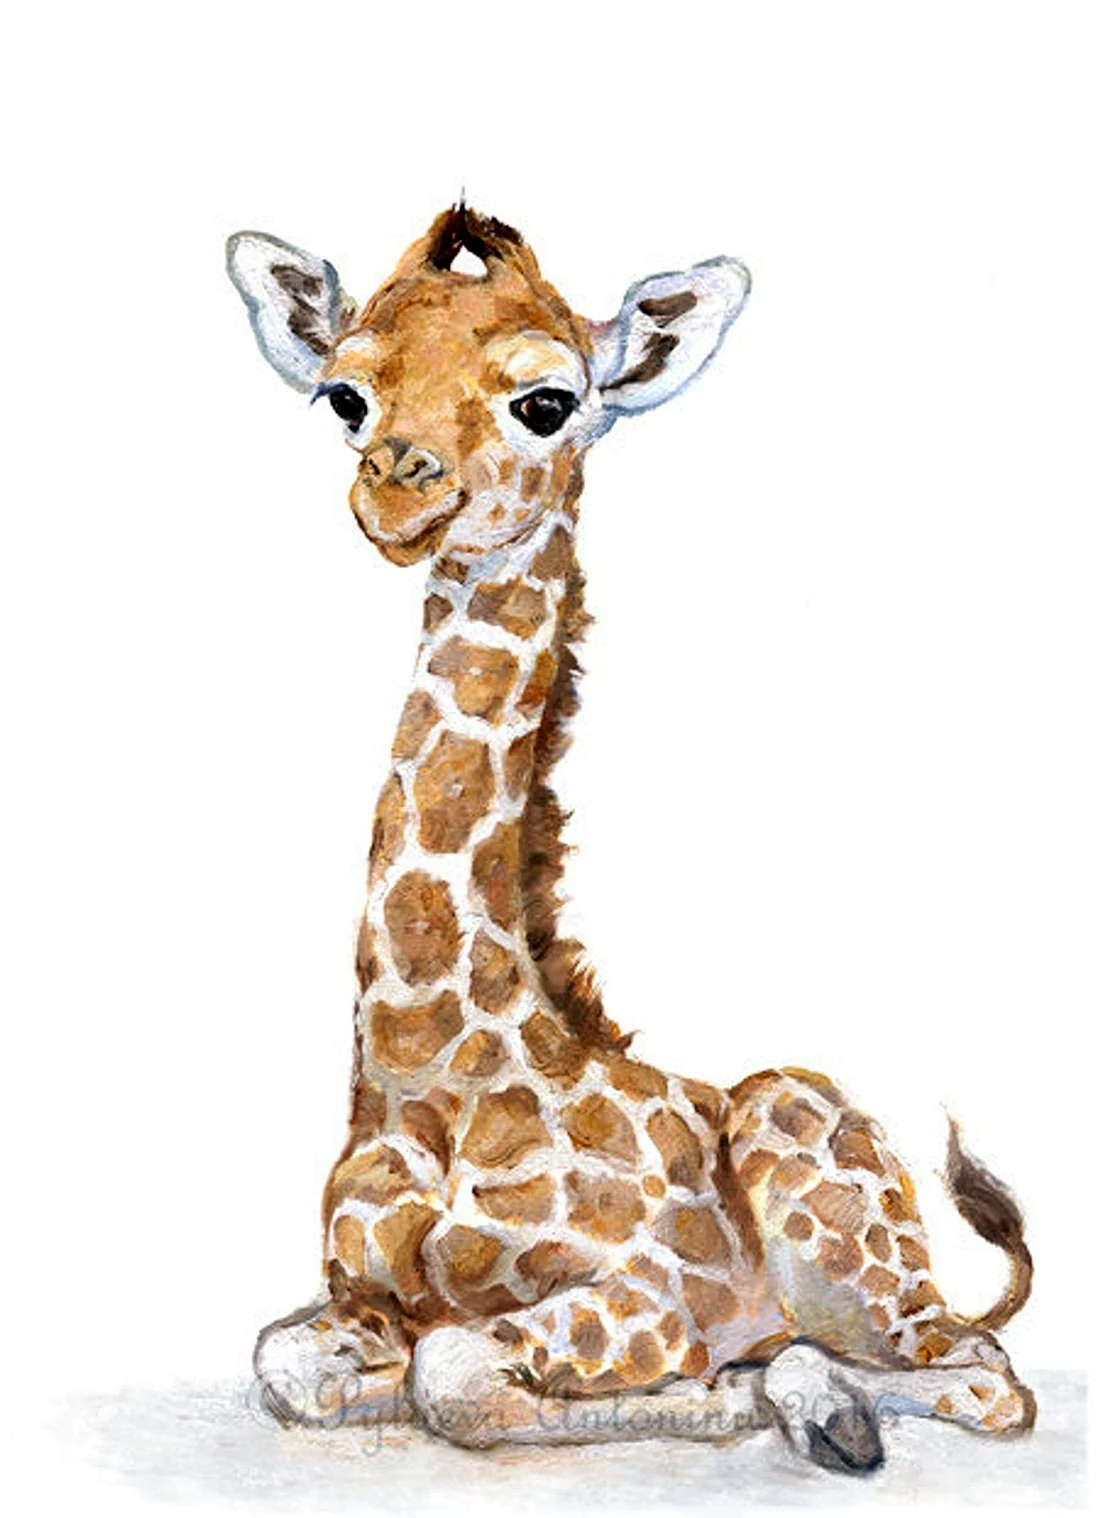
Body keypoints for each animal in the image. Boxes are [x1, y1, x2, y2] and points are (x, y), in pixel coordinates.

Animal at [226, 205, 1035, 1472]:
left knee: (984, 1375)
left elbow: (459, 1374)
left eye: (546, 401)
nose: (396, 489)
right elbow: (291, 1366)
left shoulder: (647, 1297)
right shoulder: (357, 1294)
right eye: (345, 396)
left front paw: (735, 1393)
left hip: (835, 1216)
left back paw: (817, 1399)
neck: (432, 1077)